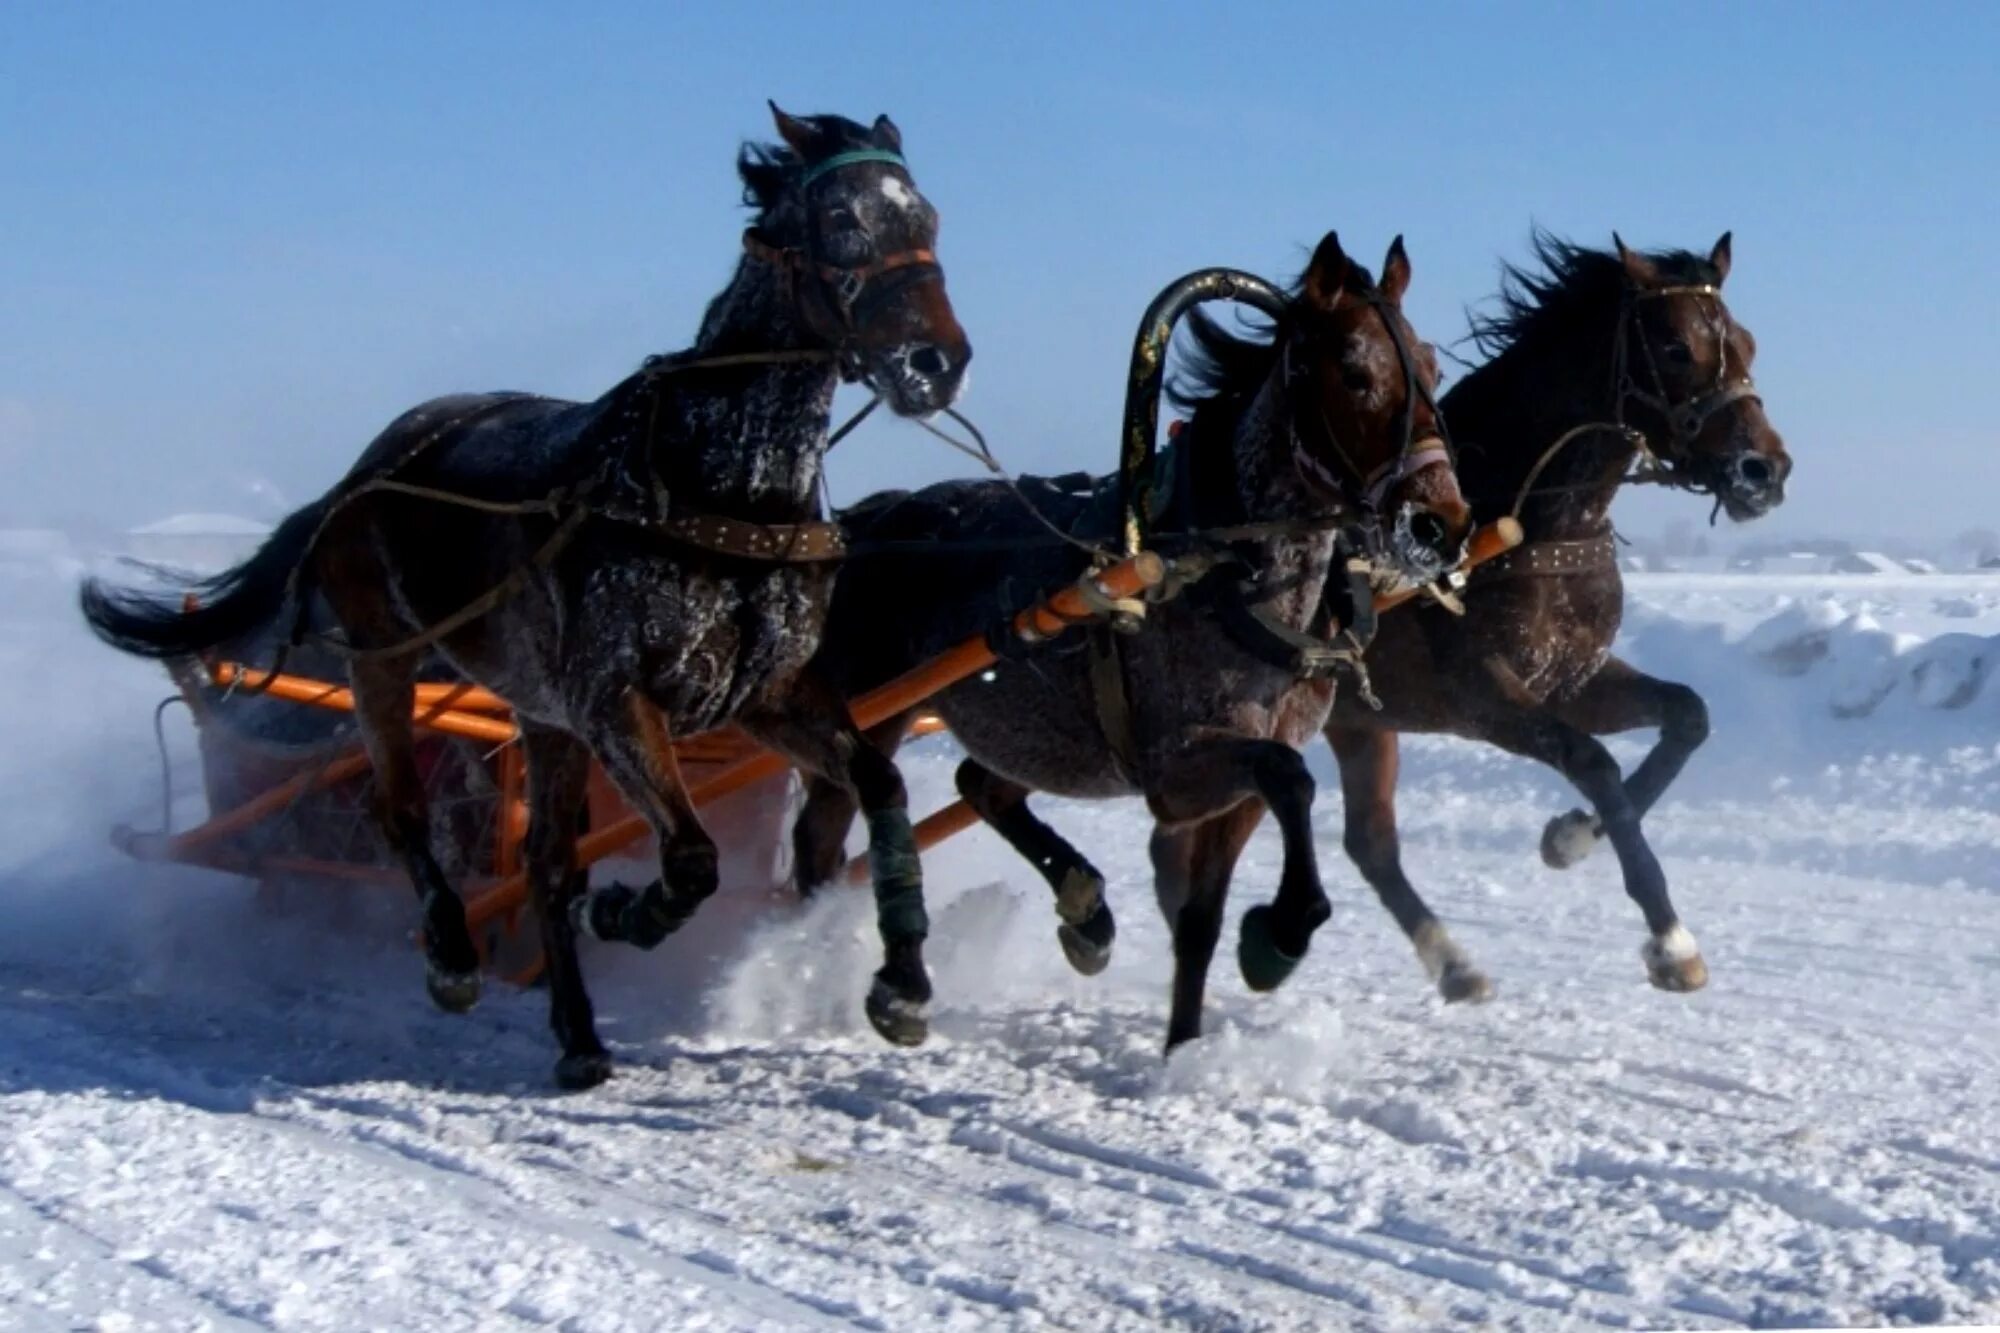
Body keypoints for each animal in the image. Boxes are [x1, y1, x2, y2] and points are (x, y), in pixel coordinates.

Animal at [82, 101, 972, 1080]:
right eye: (843, 218)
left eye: (928, 217)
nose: (937, 361)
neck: (720, 491)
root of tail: (372, 463)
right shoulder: (616, 698)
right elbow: (691, 859)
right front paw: (623, 909)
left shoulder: (764, 693)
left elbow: (879, 781)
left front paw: (902, 982)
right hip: (387, 662)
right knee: (404, 811)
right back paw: (454, 957)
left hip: (541, 716)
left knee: (544, 855)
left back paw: (578, 1036)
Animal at [792, 231, 1472, 1048]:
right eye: (1353, 371)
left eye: (1433, 366)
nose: (1440, 524)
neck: (1220, 571)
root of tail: (865, 524)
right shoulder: (1177, 771)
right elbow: (1291, 780)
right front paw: (1276, 937)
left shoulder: (1233, 784)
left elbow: (1203, 917)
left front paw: (1188, 1040)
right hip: (864, 709)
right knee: (825, 835)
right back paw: (852, 969)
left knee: (978, 785)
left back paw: (1084, 910)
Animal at [1320, 228, 1792, 996]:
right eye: (1675, 347)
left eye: (1746, 343)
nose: (1765, 471)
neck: (1520, 524)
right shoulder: (1479, 695)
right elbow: (1593, 762)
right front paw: (1671, 939)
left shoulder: (1571, 678)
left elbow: (1687, 716)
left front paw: (1571, 838)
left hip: (1358, 720)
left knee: (1370, 843)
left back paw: (1455, 964)